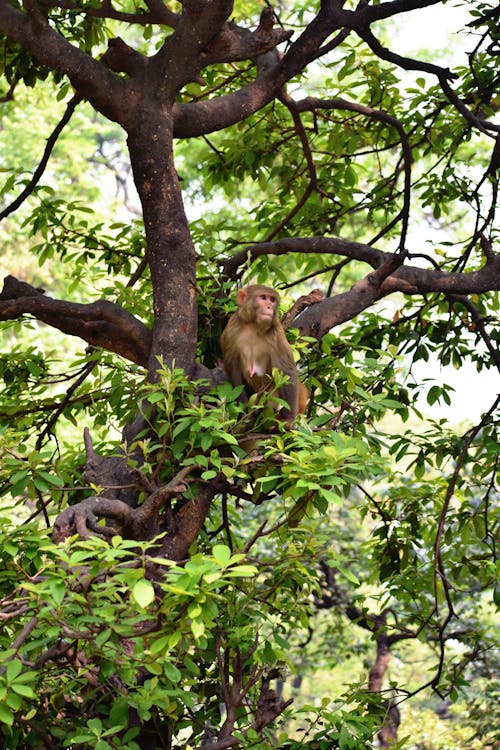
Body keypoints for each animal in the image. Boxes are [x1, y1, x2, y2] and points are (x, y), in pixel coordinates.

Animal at [221, 284, 306, 424]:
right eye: (263, 297)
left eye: (272, 300)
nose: (269, 307)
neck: (253, 325)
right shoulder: (232, 326)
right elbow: (233, 367)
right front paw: (243, 407)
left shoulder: (276, 330)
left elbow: (286, 370)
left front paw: (288, 417)